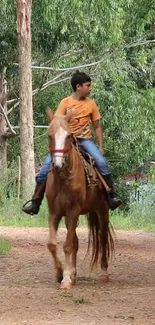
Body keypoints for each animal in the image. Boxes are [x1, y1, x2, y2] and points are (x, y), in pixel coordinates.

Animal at [45, 110, 113, 288]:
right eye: (49, 135)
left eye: (68, 135)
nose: (58, 164)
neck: (63, 179)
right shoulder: (54, 212)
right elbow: (53, 244)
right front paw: (61, 273)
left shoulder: (73, 210)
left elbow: (68, 245)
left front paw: (66, 279)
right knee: (75, 240)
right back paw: (74, 273)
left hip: (102, 210)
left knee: (102, 238)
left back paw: (104, 273)